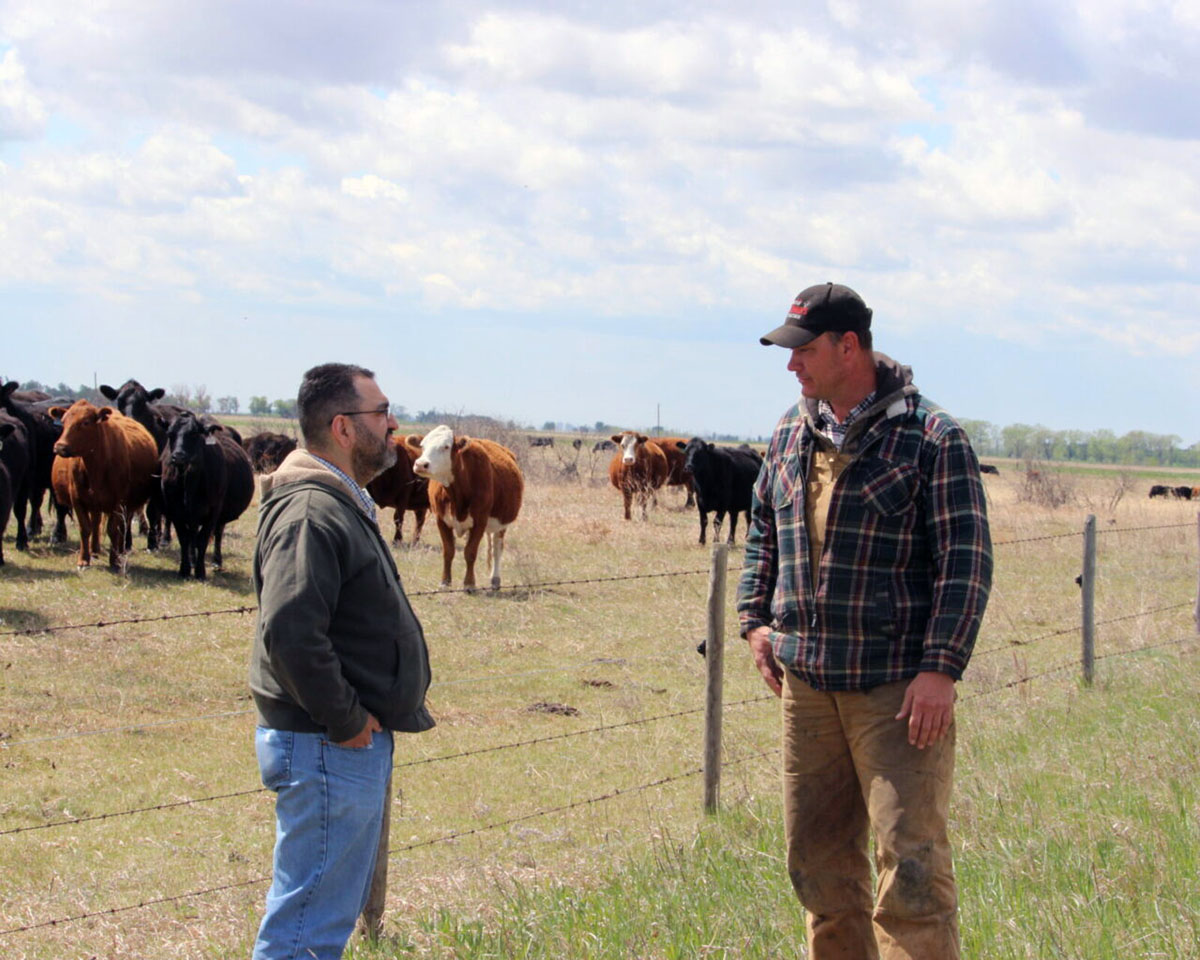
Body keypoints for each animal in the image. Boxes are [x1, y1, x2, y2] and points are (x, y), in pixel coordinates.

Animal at [48, 398, 159, 571]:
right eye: (64, 421)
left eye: (85, 422)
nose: (60, 446)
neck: (96, 466)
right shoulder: (77, 499)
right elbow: (85, 528)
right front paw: (83, 559)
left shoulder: (119, 503)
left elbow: (114, 530)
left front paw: (114, 561)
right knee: (95, 522)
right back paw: (94, 550)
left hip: (126, 505)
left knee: (121, 527)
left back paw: (119, 551)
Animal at [159, 412, 255, 578]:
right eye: (170, 434)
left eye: (194, 433)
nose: (178, 456)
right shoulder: (175, 510)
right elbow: (184, 538)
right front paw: (184, 569)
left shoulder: (213, 511)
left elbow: (202, 540)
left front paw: (200, 572)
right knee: (192, 535)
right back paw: (192, 560)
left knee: (217, 534)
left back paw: (216, 561)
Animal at [410, 427, 523, 592]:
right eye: (422, 446)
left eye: (446, 447)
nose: (420, 464)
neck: (457, 493)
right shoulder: (441, 520)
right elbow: (448, 550)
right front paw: (445, 581)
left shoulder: (480, 522)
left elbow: (470, 552)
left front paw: (469, 583)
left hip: (502, 524)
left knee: (496, 549)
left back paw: (495, 579)